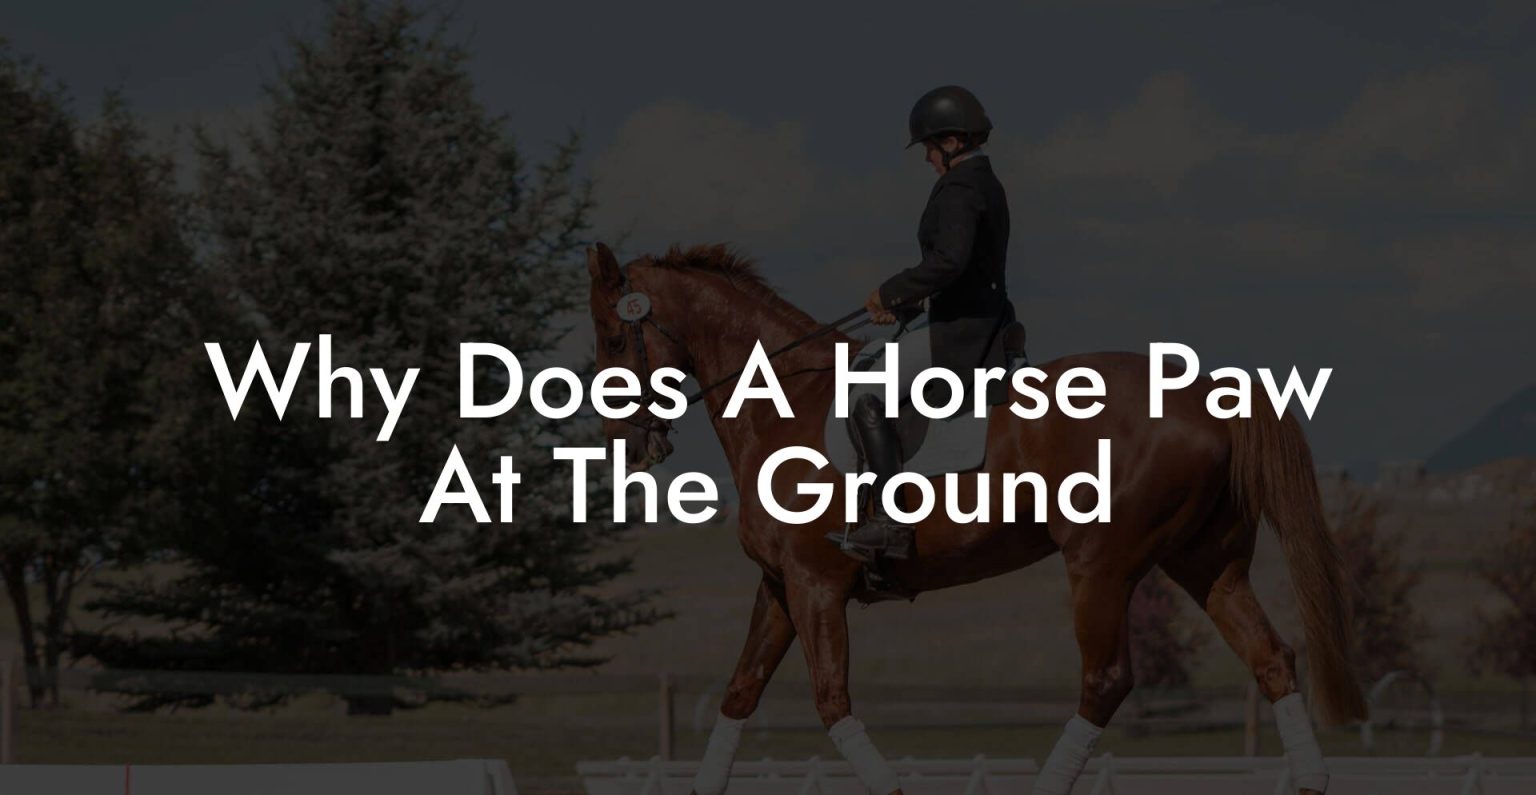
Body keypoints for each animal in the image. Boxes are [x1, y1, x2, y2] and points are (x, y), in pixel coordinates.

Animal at [584, 242, 1365, 795]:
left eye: (616, 340)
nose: (627, 442)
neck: (783, 402)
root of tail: (1208, 395)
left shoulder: (815, 587)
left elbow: (832, 702)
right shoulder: (781, 586)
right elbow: (741, 691)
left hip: (1101, 564)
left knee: (1106, 680)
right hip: (1207, 562)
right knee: (1271, 657)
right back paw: (1310, 779)